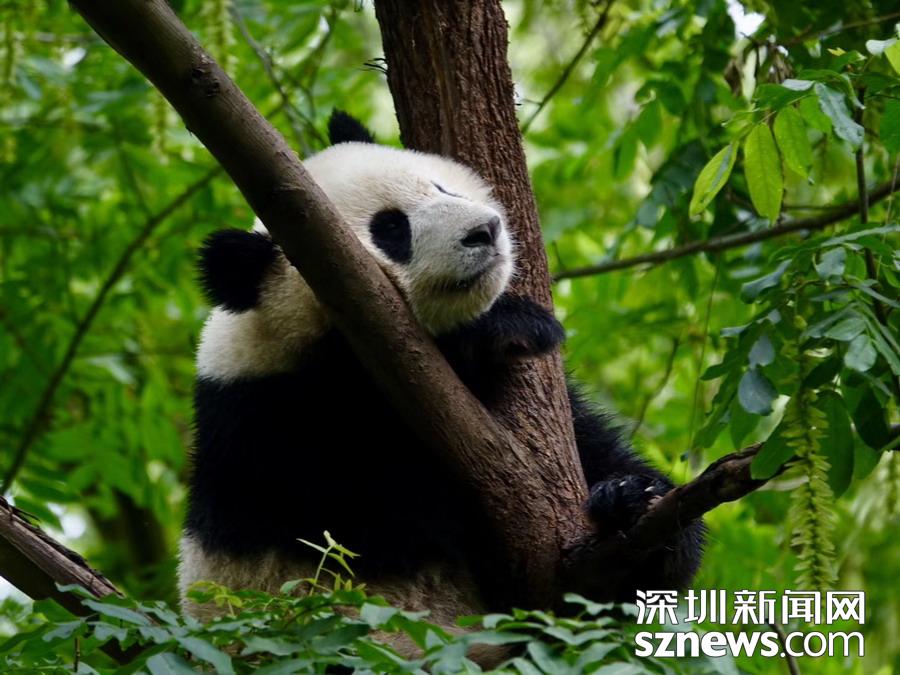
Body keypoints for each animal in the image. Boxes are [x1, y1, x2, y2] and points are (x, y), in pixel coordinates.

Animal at [179, 110, 704, 644]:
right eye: (391, 230)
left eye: (440, 187)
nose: (484, 231)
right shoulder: (283, 430)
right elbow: (398, 512)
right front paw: (504, 326)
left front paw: (628, 499)